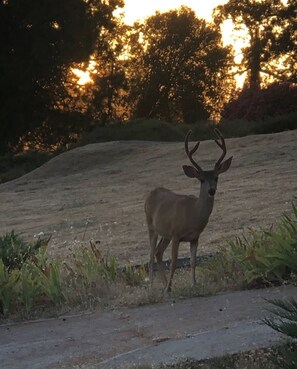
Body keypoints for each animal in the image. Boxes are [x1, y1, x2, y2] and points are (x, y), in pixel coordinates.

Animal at [145, 128, 232, 292]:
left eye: (216, 177)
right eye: (201, 179)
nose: (211, 191)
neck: (193, 215)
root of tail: (151, 192)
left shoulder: (195, 237)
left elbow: (193, 262)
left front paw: (194, 284)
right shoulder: (176, 234)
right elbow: (173, 262)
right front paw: (169, 289)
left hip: (165, 234)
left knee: (158, 253)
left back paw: (165, 284)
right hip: (151, 226)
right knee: (151, 255)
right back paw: (153, 287)